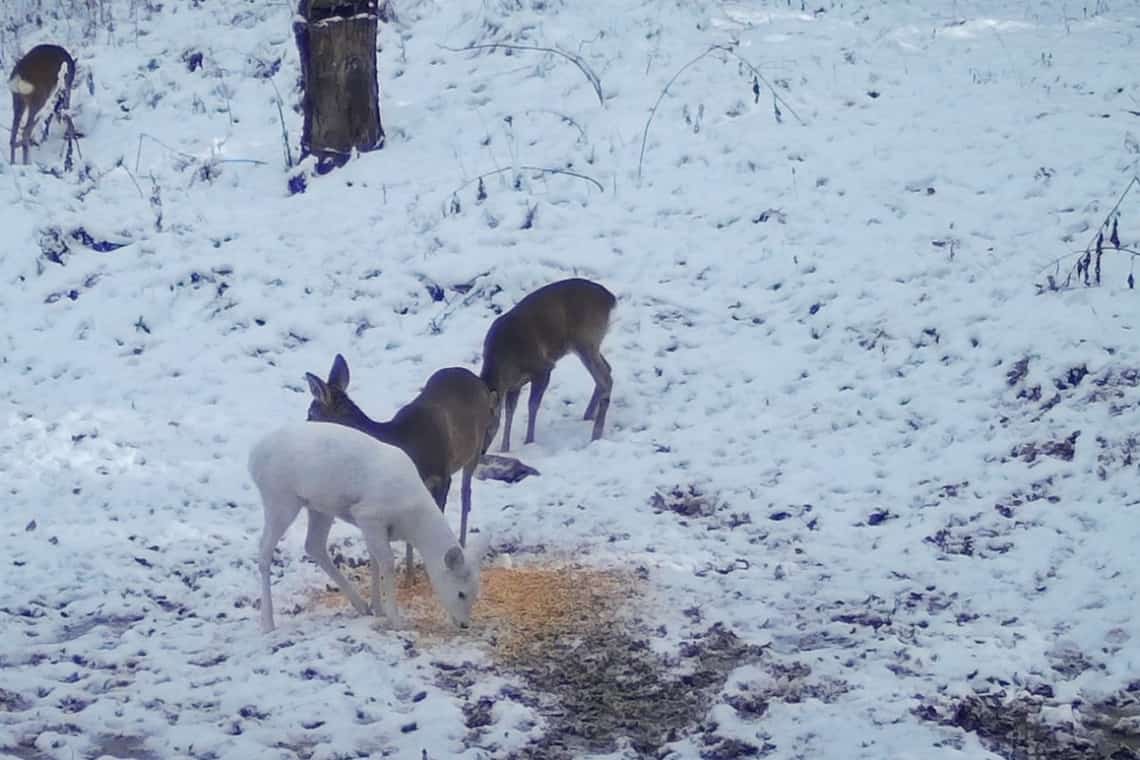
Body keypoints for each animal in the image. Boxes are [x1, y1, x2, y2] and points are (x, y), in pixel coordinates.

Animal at [305, 357, 497, 583]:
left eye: (311, 413)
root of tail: (478, 381)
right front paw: (409, 576)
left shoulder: (442, 476)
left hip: (476, 446)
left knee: (467, 493)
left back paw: (463, 542)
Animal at [483, 276, 620, 451]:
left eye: (487, 426)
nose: (481, 451)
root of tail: (610, 298)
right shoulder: (515, 384)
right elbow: (509, 411)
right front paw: (504, 448)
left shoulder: (543, 367)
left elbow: (532, 405)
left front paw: (529, 441)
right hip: (588, 344)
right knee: (607, 369)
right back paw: (588, 416)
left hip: (586, 339)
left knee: (605, 379)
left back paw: (595, 434)